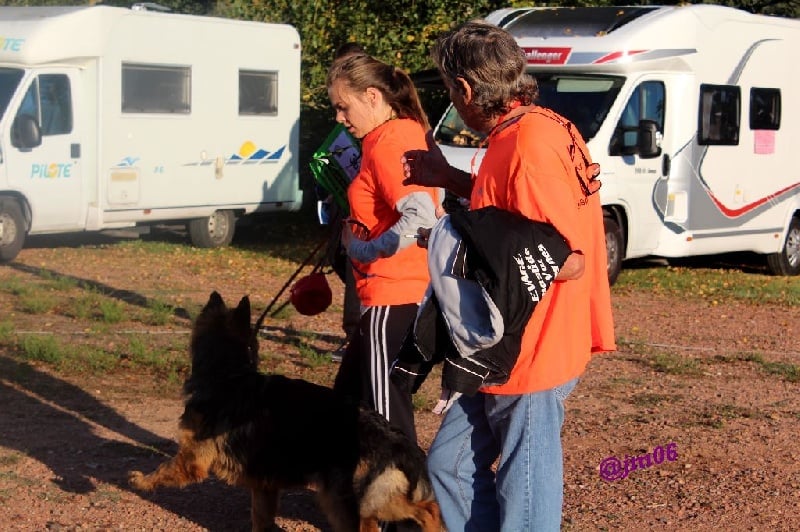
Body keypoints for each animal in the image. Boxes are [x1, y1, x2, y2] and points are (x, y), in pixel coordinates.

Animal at [131, 294, 444, 532]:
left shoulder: (192, 458)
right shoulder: (264, 486)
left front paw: (141, 481)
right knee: (426, 509)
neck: (229, 374)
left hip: (350, 500)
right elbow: (261, 517)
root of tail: (401, 443)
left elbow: (164, 469)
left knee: (414, 512)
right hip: (366, 500)